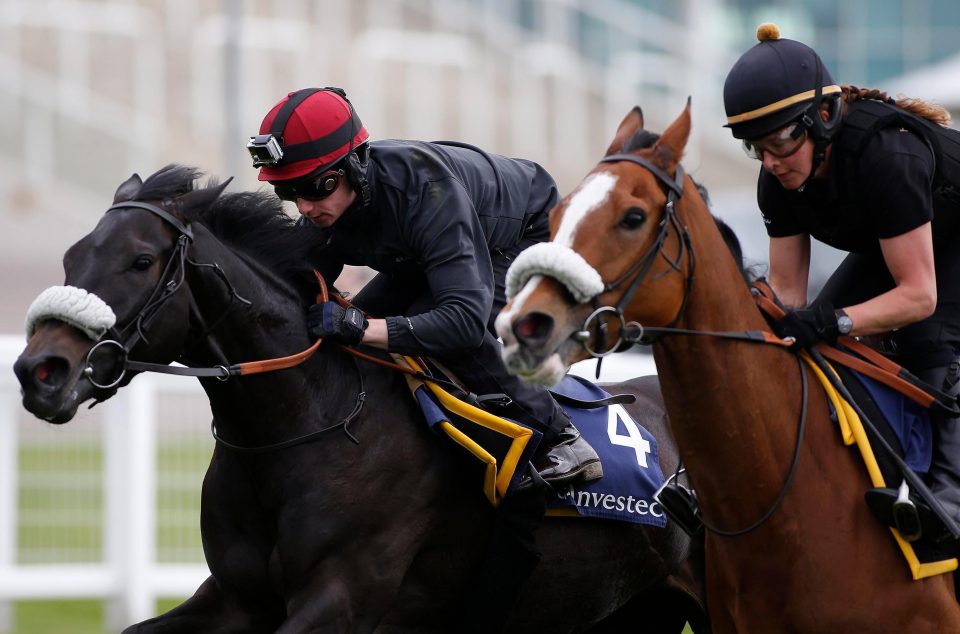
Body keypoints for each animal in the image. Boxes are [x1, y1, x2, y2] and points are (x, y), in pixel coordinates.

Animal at [11, 164, 708, 632]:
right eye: (73, 255)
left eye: (140, 260)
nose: (38, 370)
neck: (301, 425)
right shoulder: (236, 597)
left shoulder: (341, 600)